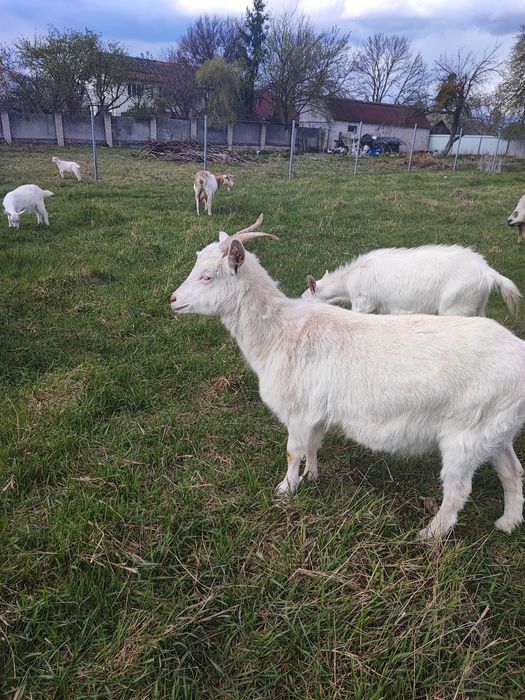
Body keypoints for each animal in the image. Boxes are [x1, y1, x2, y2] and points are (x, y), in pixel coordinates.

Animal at [303, 245, 521, 316]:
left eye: (304, 298)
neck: (348, 280)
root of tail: (488, 272)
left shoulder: (363, 303)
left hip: (456, 306)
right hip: (477, 304)